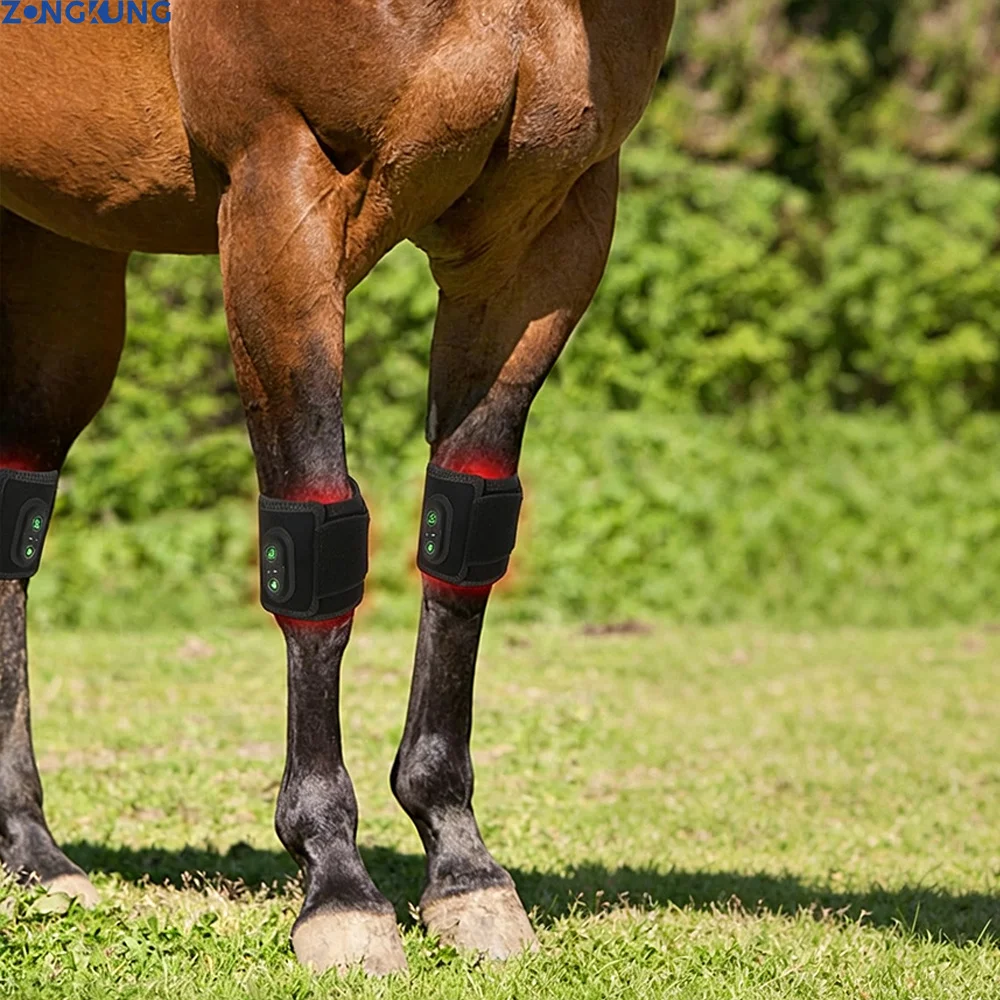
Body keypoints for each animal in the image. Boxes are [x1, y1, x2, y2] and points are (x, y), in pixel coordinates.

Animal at [0, 1, 676, 975]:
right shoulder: (283, 197)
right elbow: (316, 539)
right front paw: (337, 884)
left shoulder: (543, 232)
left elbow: (465, 538)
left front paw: (462, 867)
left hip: (59, 246)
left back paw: (32, 851)